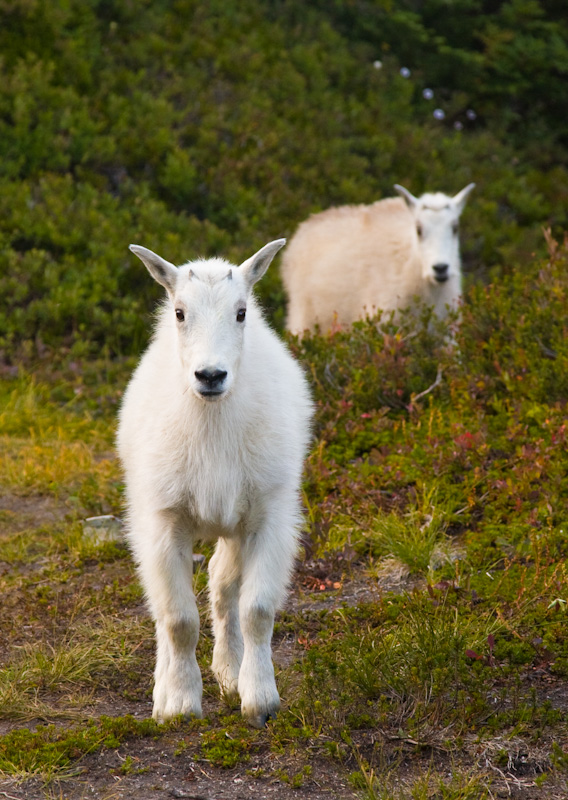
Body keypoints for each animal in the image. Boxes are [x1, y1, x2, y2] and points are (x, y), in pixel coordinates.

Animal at [117, 236, 312, 724]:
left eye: (241, 312)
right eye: (179, 312)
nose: (210, 375)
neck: (212, 423)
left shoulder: (267, 517)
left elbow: (255, 610)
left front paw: (259, 699)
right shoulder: (165, 521)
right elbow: (178, 620)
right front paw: (181, 703)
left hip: (233, 527)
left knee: (223, 587)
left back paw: (229, 671)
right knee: (163, 608)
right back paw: (163, 686)